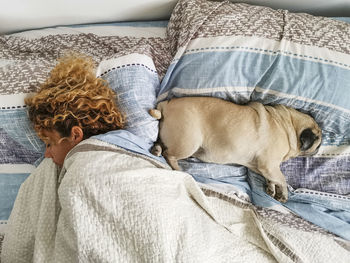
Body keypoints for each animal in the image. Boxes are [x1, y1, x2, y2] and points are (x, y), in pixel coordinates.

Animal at [149, 98, 322, 203]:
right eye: (318, 143)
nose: (320, 147)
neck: (289, 126)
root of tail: (165, 105)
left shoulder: (263, 167)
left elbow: (272, 179)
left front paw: (271, 188)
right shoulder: (269, 165)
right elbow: (282, 179)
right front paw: (283, 193)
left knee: (161, 145)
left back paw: (156, 149)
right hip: (189, 142)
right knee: (169, 155)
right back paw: (179, 169)